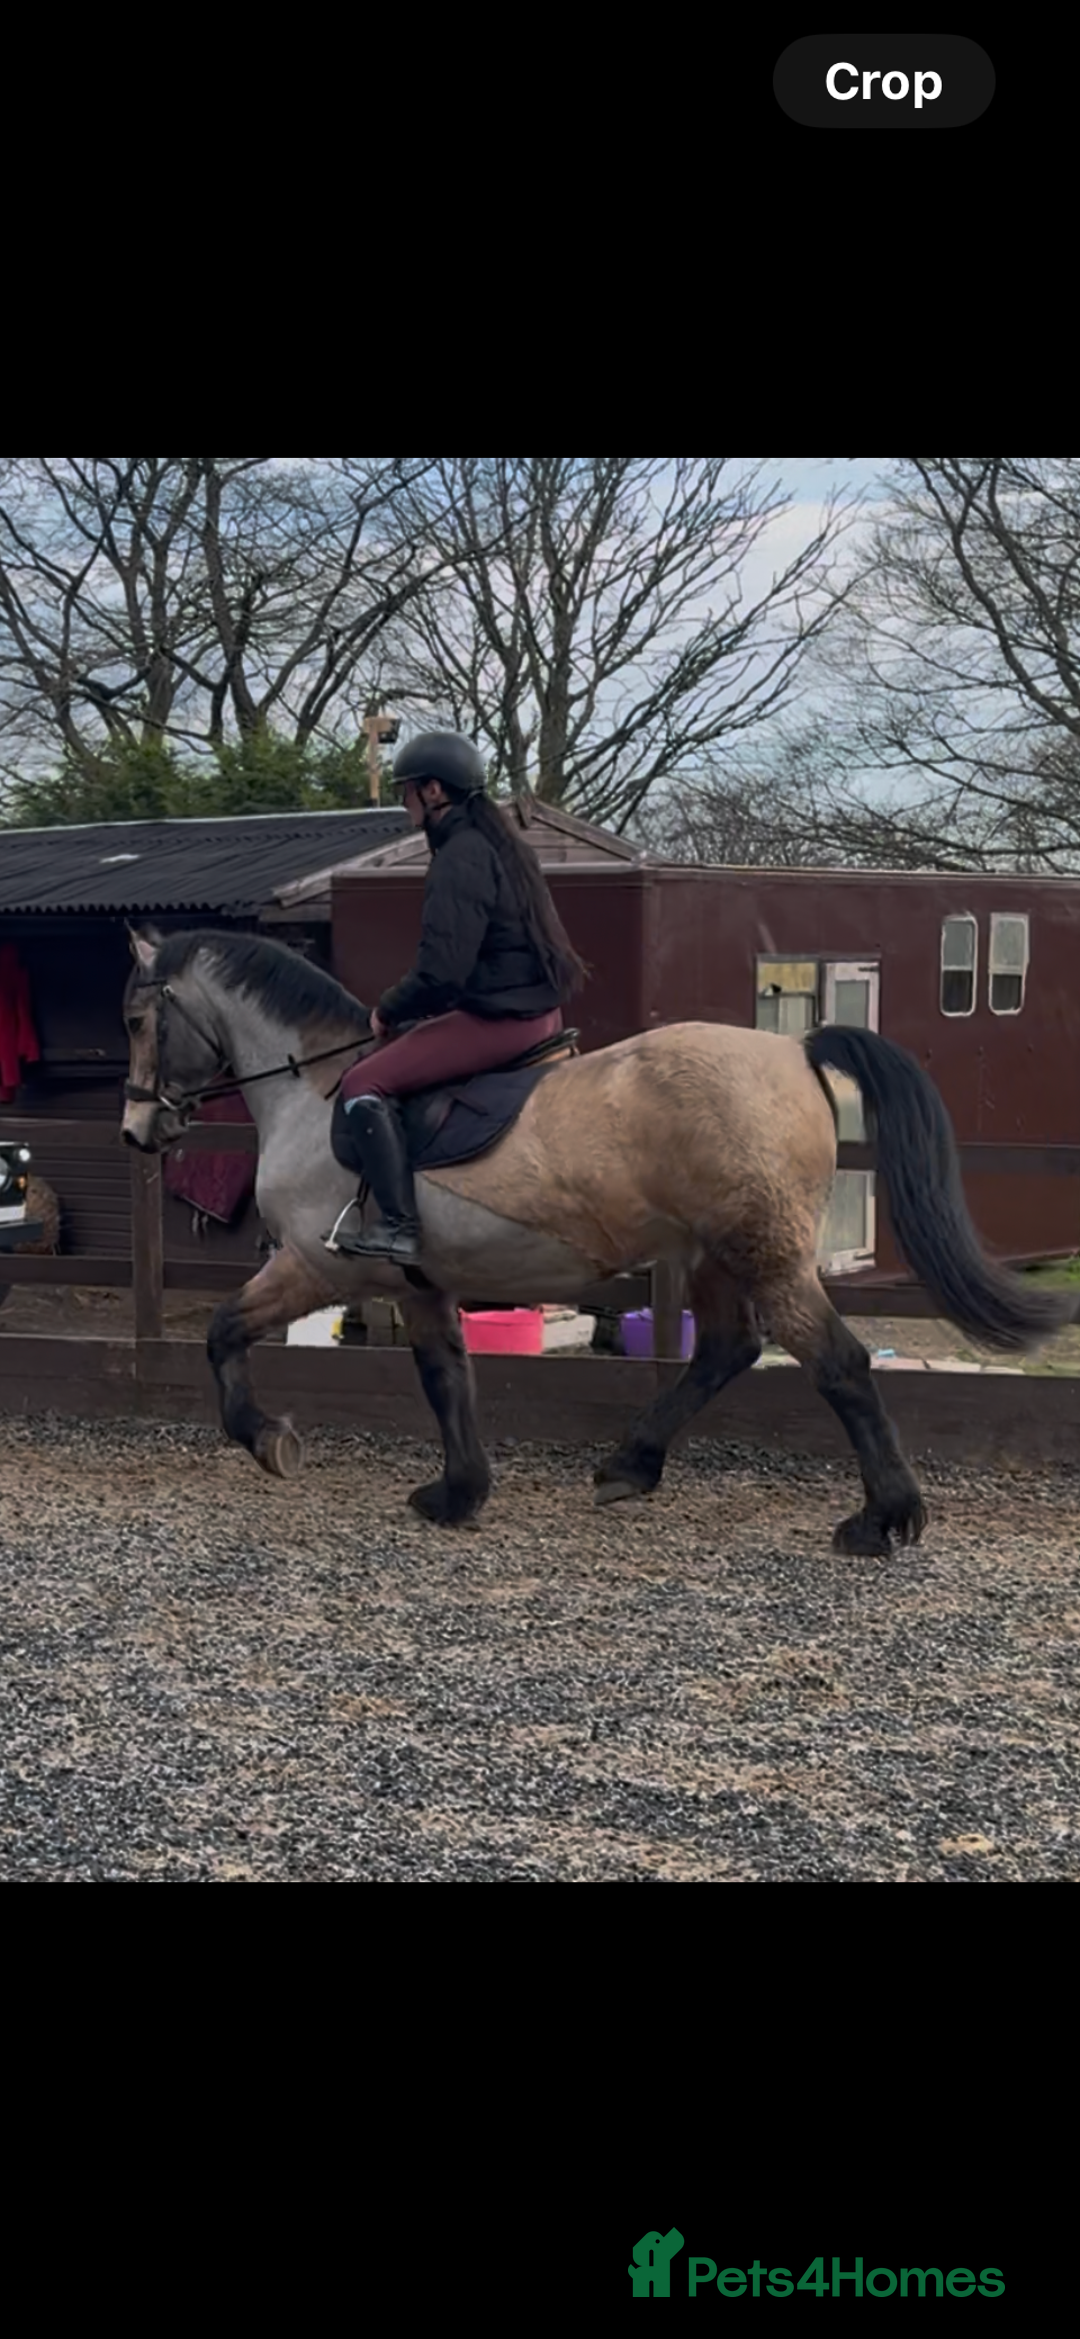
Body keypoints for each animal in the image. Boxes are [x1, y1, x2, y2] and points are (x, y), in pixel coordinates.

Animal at [119, 924, 1075, 1555]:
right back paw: (630, 1464)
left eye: (135, 1019)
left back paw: (884, 1518)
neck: (316, 1090)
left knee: (836, 1362)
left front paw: (265, 1438)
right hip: (710, 1256)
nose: (136, 1133)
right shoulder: (422, 1284)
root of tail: (795, 1049)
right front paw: (458, 1492)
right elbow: (445, 1377)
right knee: (725, 1350)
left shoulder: (317, 1266)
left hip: (763, 1252)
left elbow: (222, 1333)